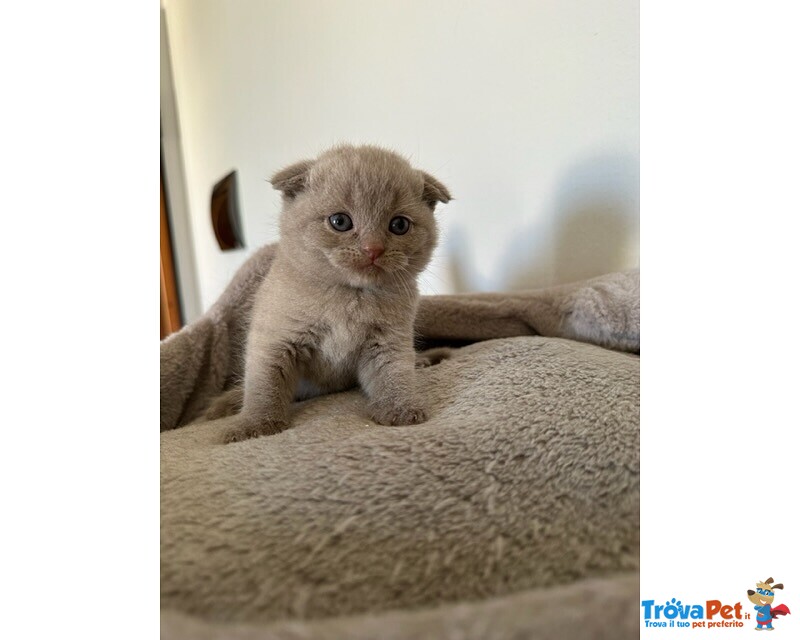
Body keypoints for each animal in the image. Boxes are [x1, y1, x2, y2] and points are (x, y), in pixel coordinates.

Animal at [208, 145, 450, 444]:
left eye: (399, 225)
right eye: (340, 221)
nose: (373, 249)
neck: (349, 297)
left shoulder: (388, 340)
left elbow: (394, 373)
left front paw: (400, 409)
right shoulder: (275, 339)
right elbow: (264, 384)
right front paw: (254, 425)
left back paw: (422, 361)